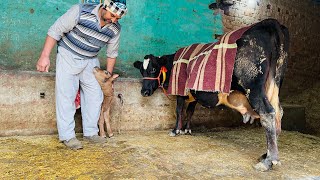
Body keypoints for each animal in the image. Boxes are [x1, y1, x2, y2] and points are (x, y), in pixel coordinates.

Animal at [134, 18, 288, 172]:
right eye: (142, 70)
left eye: (153, 69)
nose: (144, 92)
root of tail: (270, 23)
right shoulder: (194, 94)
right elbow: (190, 111)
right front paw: (187, 129)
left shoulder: (181, 90)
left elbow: (179, 110)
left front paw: (176, 130)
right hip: (274, 85)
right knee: (278, 113)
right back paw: (266, 155)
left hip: (253, 87)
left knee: (267, 113)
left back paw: (269, 161)